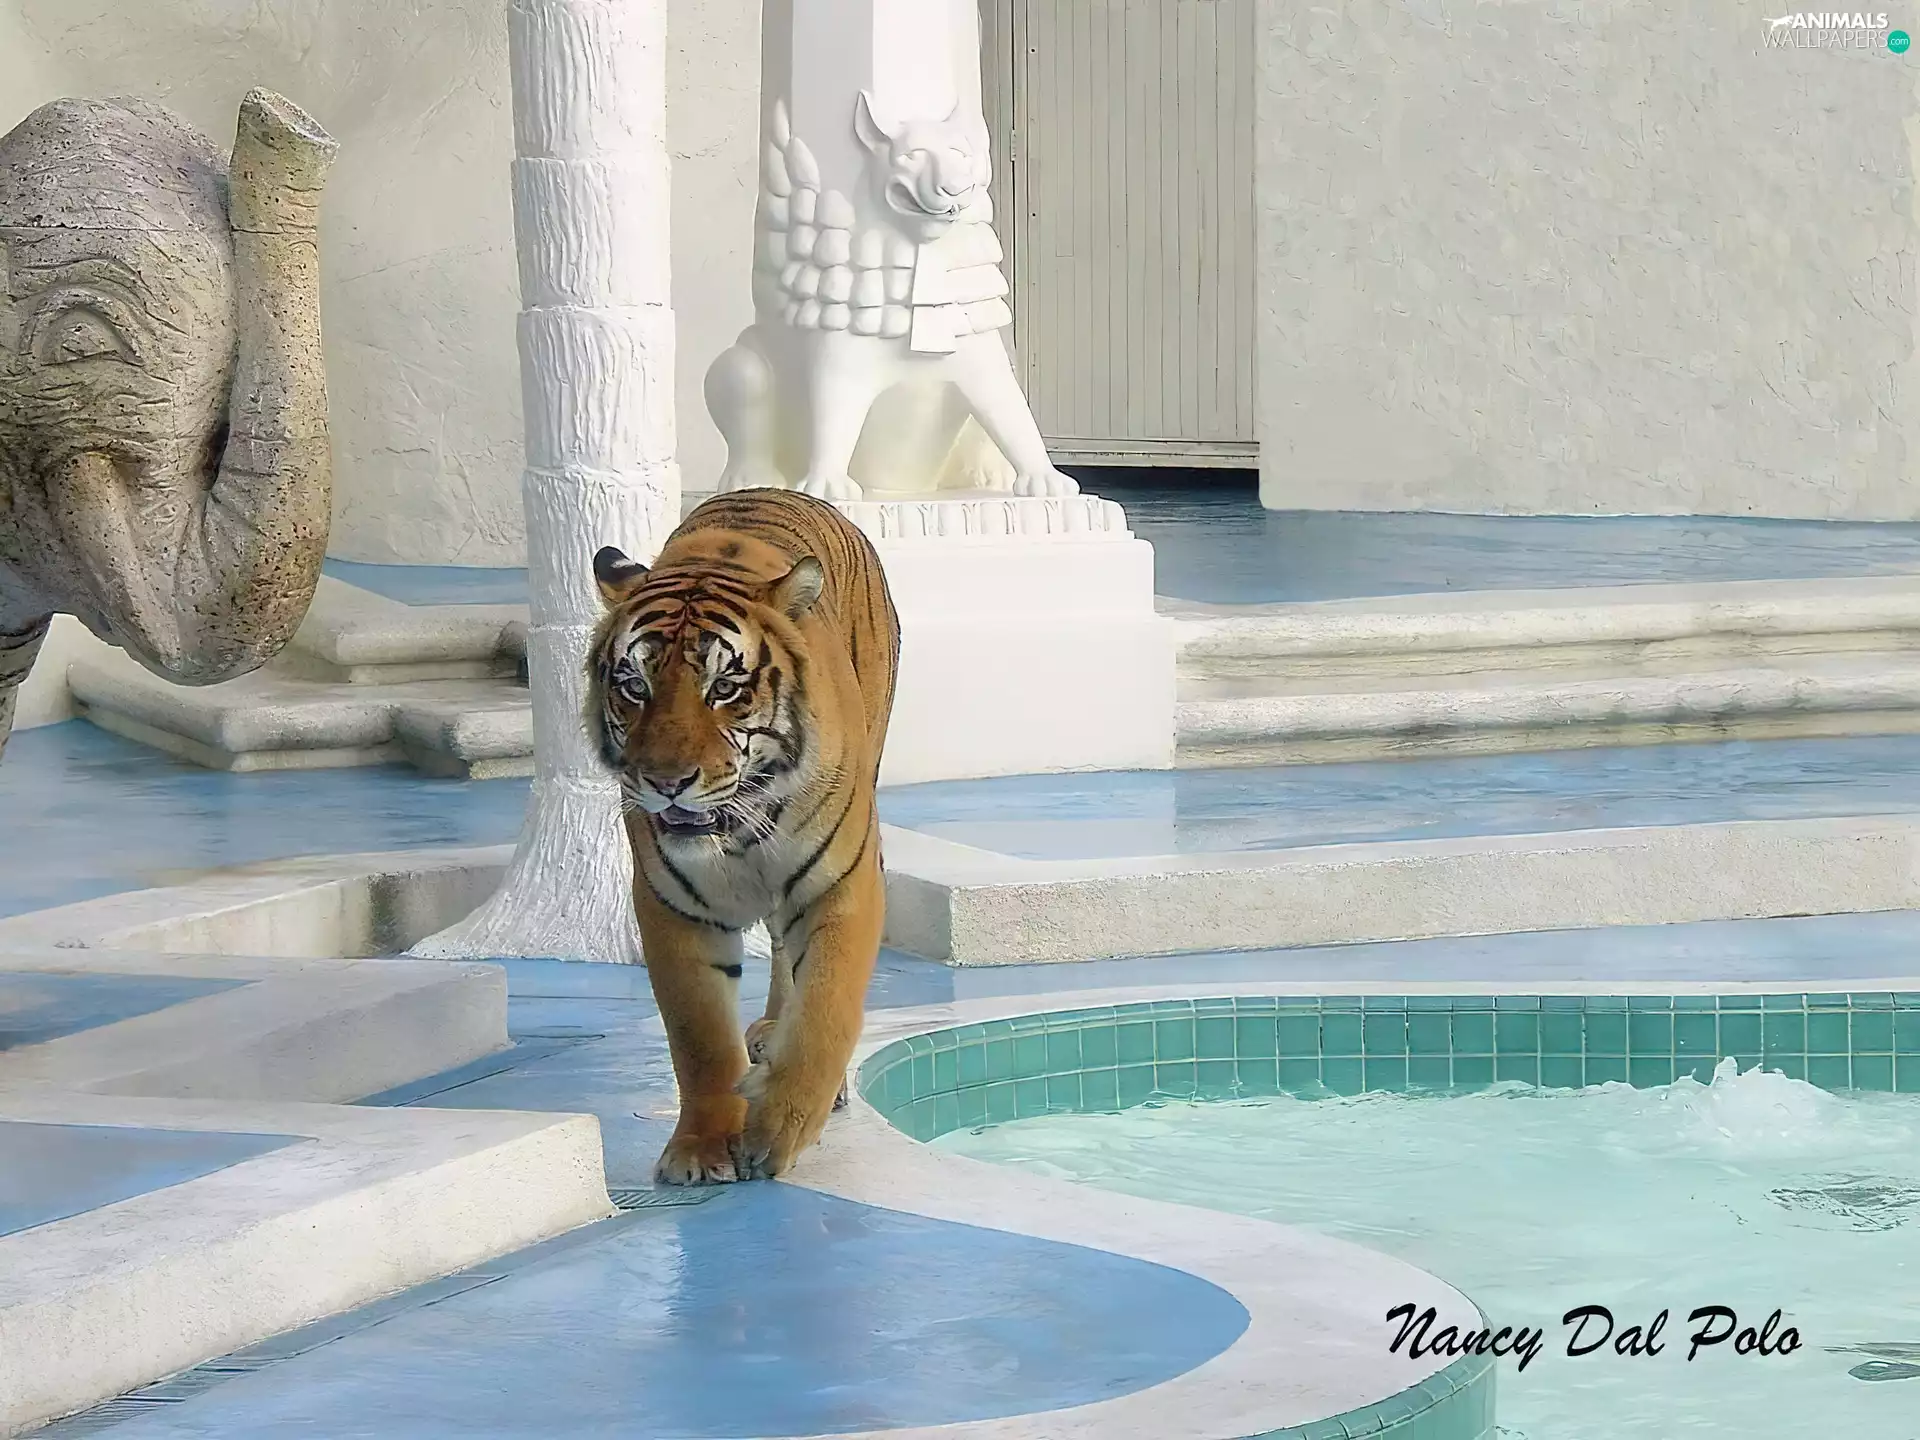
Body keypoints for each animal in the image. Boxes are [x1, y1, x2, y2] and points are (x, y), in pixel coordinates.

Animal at [585, 487, 901, 1185]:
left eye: (724, 688)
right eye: (634, 686)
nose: (666, 783)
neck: (740, 824)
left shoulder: (843, 884)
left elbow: (826, 1010)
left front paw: (779, 1130)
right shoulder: (673, 906)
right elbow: (698, 1039)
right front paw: (701, 1149)